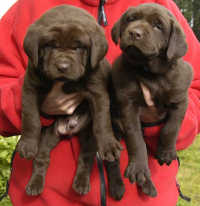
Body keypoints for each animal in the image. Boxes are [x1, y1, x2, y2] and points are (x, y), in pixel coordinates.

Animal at [111, 2, 192, 196]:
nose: (134, 33)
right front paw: (138, 169)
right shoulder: (128, 104)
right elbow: (136, 139)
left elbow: (171, 127)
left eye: (158, 26)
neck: (149, 73)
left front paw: (166, 152)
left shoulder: (180, 98)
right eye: (131, 19)